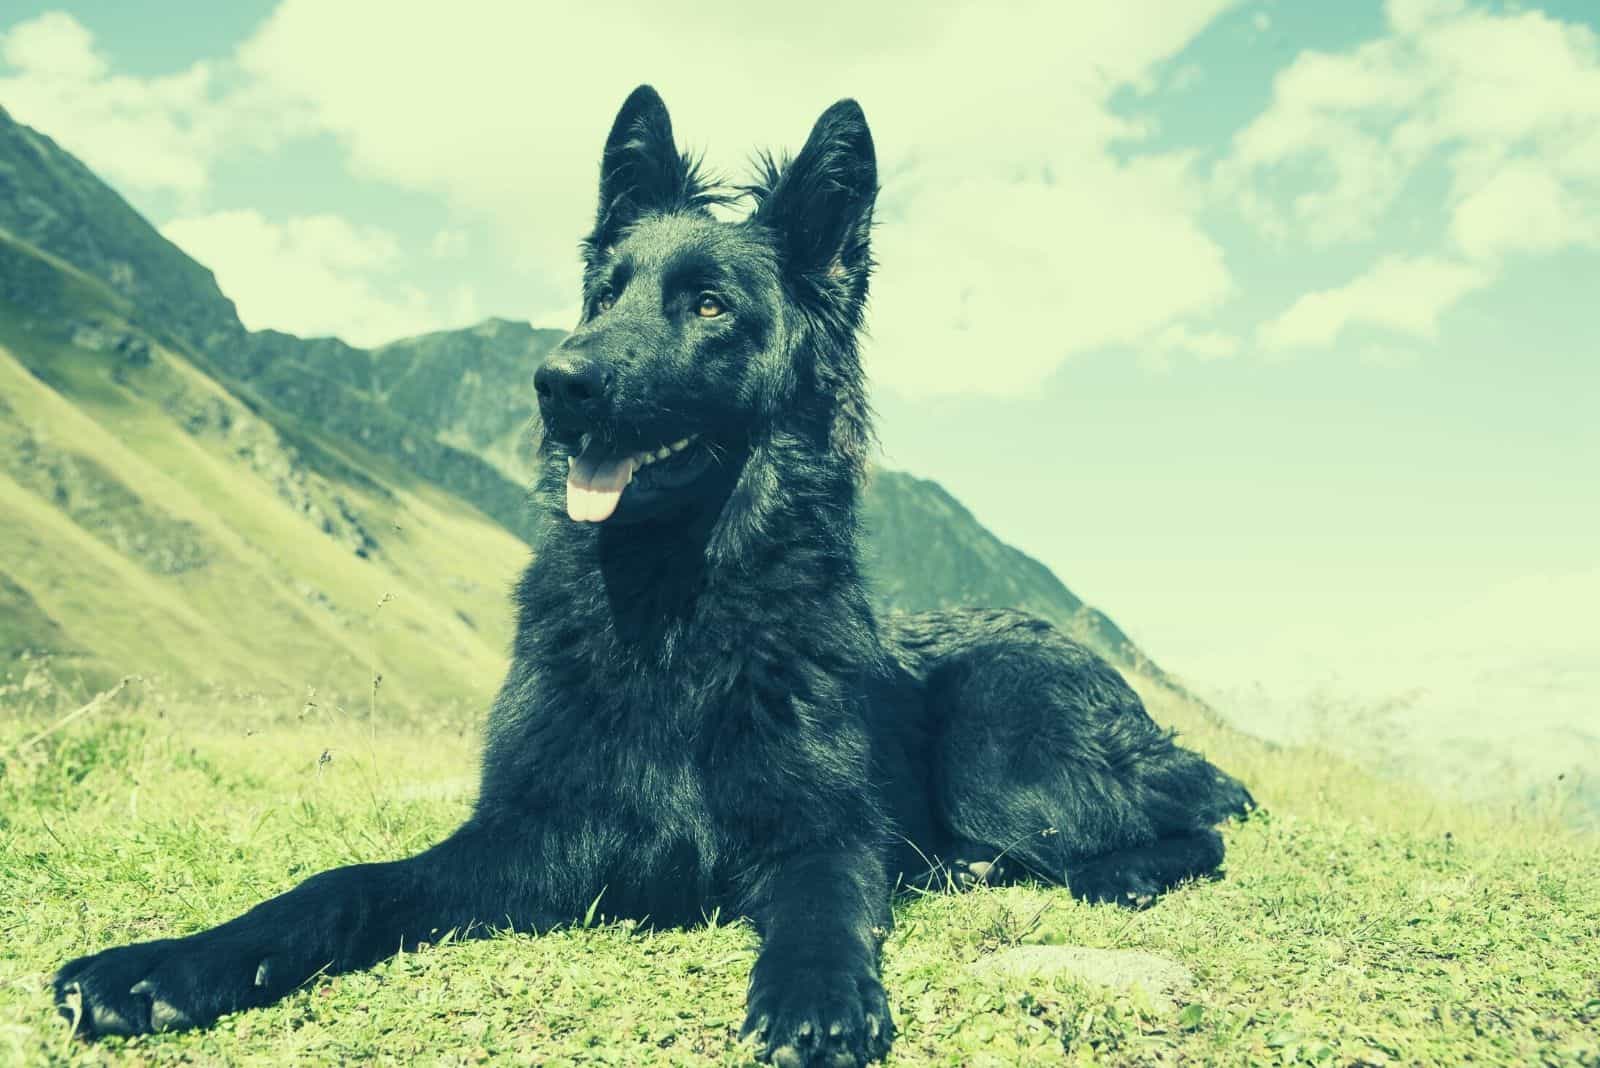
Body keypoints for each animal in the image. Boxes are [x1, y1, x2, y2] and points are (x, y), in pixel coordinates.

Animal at [56, 85, 1248, 1068]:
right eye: (603, 294)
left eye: (709, 305)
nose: (556, 384)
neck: (677, 608)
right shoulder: (529, 835)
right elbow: (347, 883)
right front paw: (168, 963)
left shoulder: (820, 828)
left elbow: (824, 898)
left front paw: (816, 992)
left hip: (1005, 760)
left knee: (1195, 815)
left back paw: (1106, 870)